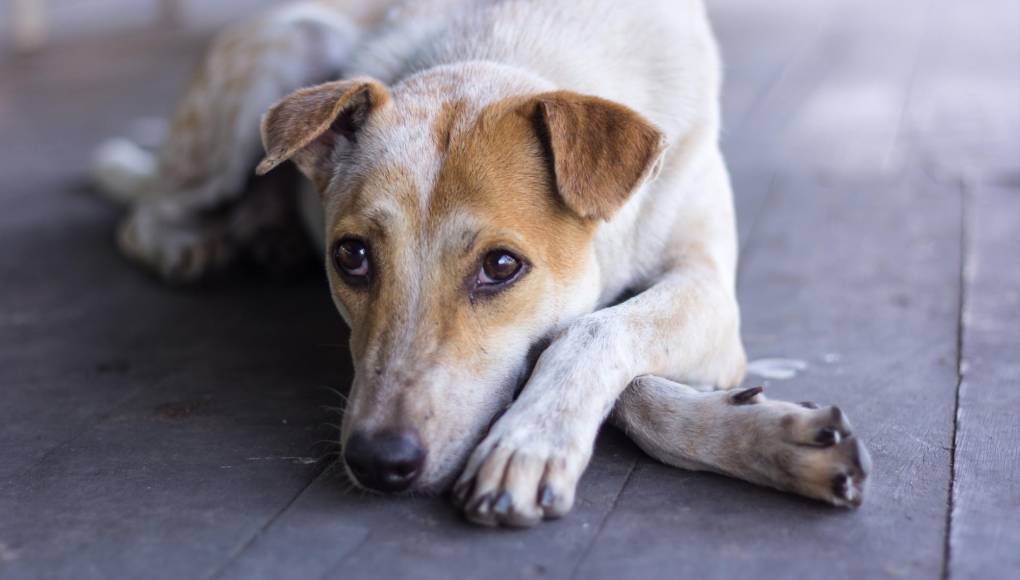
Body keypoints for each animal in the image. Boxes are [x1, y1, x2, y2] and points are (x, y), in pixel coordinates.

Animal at [95, 0, 873, 525]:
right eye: (351, 256)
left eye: (501, 267)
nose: (379, 462)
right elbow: (585, 352)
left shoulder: (707, 287)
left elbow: (588, 332)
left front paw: (531, 440)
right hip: (272, 58)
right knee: (143, 210)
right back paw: (192, 244)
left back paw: (264, 232)